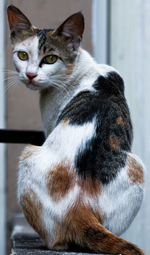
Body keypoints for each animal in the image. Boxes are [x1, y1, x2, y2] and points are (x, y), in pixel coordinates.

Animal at [7, 4, 145, 254]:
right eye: (23, 55)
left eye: (51, 59)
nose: (30, 75)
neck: (80, 67)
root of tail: (80, 208)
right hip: (137, 168)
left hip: (28, 153)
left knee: (57, 242)